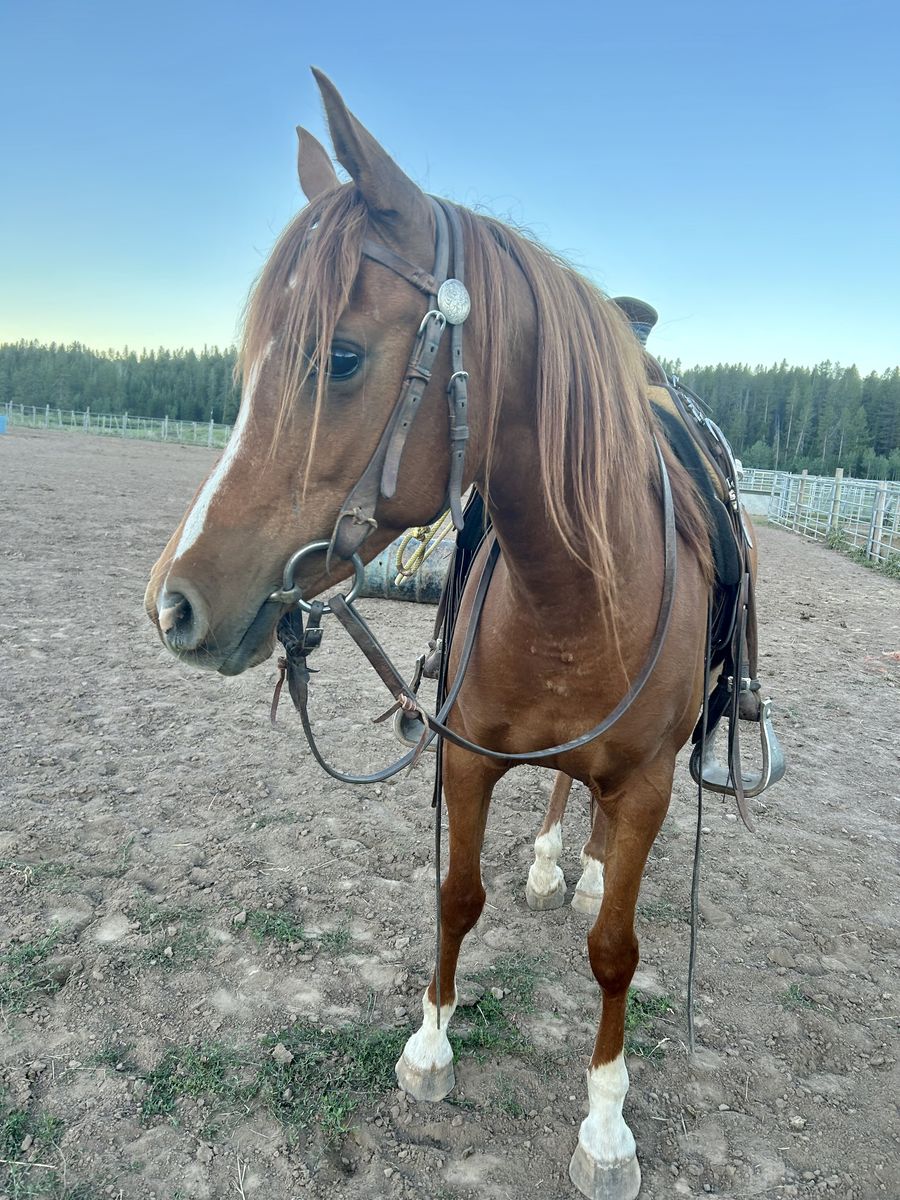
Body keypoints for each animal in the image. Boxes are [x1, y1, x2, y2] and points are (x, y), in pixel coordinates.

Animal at [145, 70, 740, 1200]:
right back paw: (555, 860)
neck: (577, 595)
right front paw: (429, 1045)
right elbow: (456, 896)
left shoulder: (645, 782)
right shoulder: (467, 758)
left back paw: (585, 866)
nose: (174, 606)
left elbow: (617, 949)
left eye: (340, 356)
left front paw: (606, 1126)